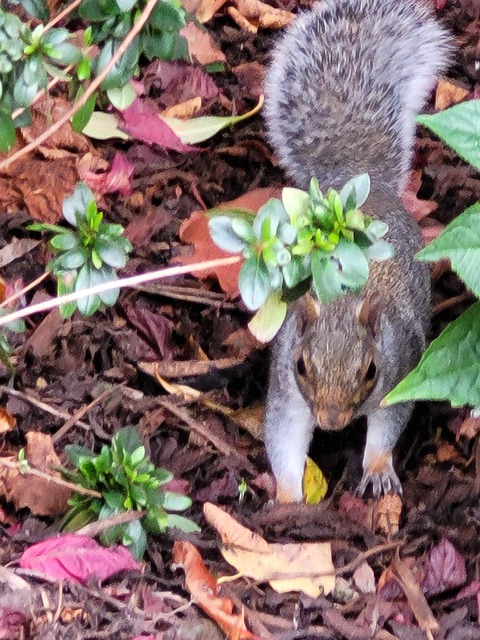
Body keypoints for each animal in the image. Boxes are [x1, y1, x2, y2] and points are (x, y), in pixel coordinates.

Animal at [262, 0, 451, 502]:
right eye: (302, 365)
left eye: (369, 370)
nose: (331, 422)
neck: (341, 298)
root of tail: (358, 178)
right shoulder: (286, 388)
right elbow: (283, 436)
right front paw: (286, 497)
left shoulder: (400, 367)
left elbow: (388, 424)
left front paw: (379, 468)